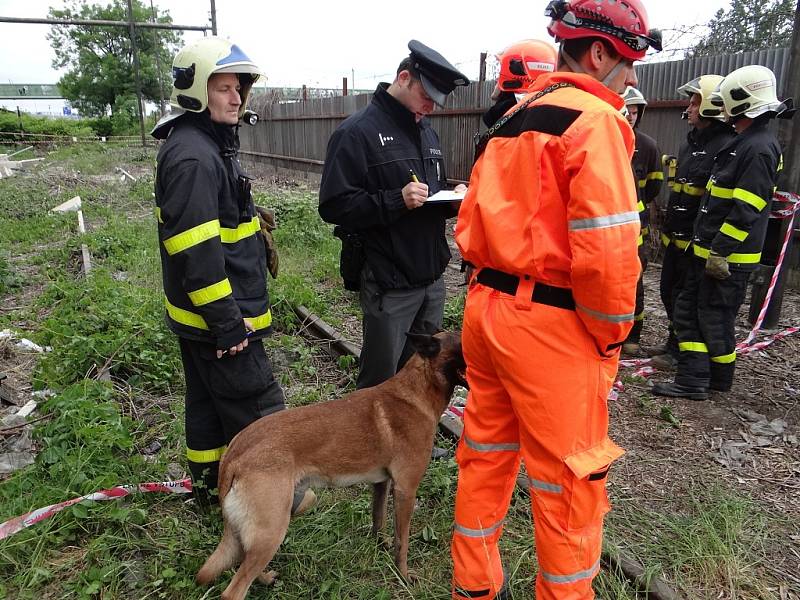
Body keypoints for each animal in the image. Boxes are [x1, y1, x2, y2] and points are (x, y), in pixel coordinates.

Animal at [196, 330, 466, 596]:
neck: (418, 389)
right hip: (272, 527)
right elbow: (403, 541)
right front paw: (403, 574)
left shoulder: (382, 483)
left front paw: (380, 545)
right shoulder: (405, 491)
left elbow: (378, 519)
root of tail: (235, 450)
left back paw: (265, 578)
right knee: (235, 588)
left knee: (245, 559)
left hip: (266, 528)